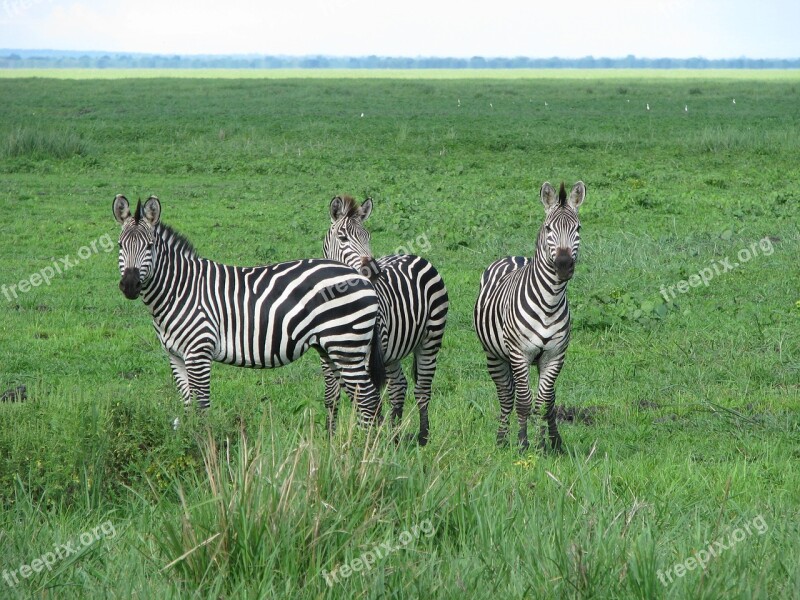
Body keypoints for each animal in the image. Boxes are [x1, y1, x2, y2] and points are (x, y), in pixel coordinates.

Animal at [112, 195, 384, 424]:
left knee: (369, 400)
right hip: (334, 349)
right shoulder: (175, 356)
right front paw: (188, 441)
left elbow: (202, 408)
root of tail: (363, 278)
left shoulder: (199, 353)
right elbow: (188, 408)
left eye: (149, 246)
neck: (179, 289)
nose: (129, 285)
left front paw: (204, 446)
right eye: (119, 246)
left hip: (346, 346)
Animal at [324, 197, 450, 446]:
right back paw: (395, 435)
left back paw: (422, 437)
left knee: (422, 390)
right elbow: (332, 397)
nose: (374, 270)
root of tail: (415, 256)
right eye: (343, 238)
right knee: (398, 387)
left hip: (430, 340)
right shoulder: (327, 357)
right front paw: (331, 441)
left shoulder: (367, 356)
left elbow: (367, 397)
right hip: (392, 352)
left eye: (368, 236)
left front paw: (367, 441)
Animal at [472, 180, 584, 452]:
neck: (550, 301)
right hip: (495, 355)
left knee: (549, 398)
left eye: (577, 228)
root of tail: (512, 257)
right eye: (548, 228)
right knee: (506, 396)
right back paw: (502, 439)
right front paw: (523, 443)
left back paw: (555, 440)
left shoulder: (555, 356)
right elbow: (523, 401)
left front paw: (543, 445)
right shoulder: (520, 354)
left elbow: (543, 403)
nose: (563, 265)